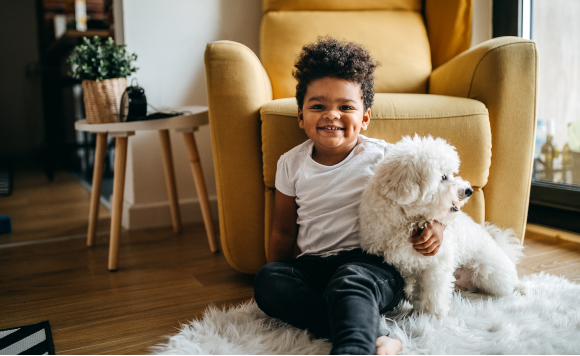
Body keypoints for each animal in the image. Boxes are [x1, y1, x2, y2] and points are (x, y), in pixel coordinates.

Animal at [360, 136, 524, 318]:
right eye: (443, 177)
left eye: (451, 173)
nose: (468, 190)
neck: (408, 219)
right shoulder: (401, 262)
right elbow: (410, 283)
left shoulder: (436, 264)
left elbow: (433, 292)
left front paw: (430, 315)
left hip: (490, 274)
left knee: (509, 283)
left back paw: (521, 288)